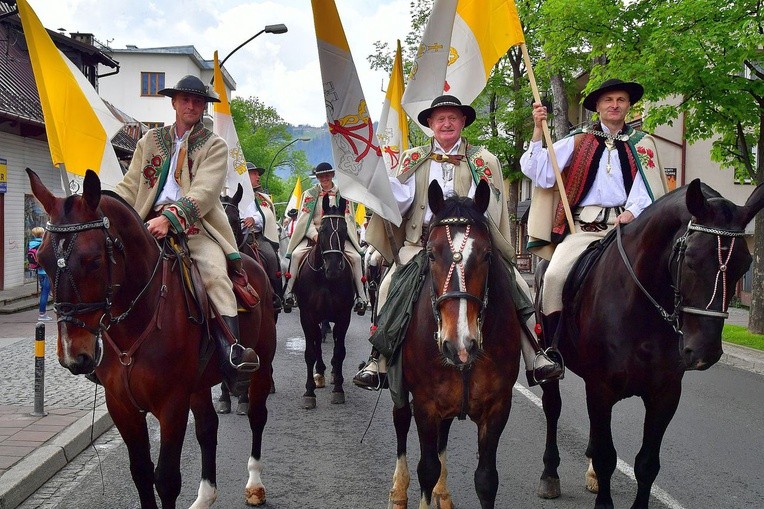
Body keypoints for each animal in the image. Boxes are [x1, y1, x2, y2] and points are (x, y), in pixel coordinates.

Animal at [27, 170, 278, 508]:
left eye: (93, 261)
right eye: (42, 260)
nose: (73, 355)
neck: (136, 323)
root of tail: (250, 264)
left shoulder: (172, 406)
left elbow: (166, 480)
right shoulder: (122, 406)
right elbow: (142, 473)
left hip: (261, 365)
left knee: (257, 416)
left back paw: (255, 484)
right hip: (198, 384)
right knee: (207, 427)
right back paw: (205, 496)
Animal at [294, 192, 356, 406]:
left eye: (345, 230)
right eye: (322, 229)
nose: (334, 268)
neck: (324, 279)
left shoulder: (344, 316)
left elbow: (340, 351)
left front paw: (338, 389)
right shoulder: (307, 316)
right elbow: (310, 352)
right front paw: (309, 392)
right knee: (317, 343)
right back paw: (319, 374)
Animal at [388, 180, 524, 508]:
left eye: (487, 254)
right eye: (432, 254)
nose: (459, 345)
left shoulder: (497, 408)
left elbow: (486, 480)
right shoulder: (425, 404)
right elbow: (427, 468)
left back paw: (443, 493)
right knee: (400, 421)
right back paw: (398, 491)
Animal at [536, 177, 760, 506]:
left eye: (744, 265)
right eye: (690, 260)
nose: (704, 352)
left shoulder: (664, 395)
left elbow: (646, 464)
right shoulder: (601, 389)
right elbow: (606, 457)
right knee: (552, 409)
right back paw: (549, 475)